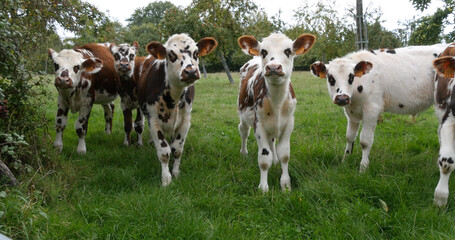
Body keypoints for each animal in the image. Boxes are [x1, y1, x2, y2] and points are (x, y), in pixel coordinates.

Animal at [138, 33, 218, 186]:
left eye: (196, 53)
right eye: (171, 55)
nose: (190, 71)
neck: (173, 98)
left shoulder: (185, 120)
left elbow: (177, 149)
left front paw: (175, 172)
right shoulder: (153, 120)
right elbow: (164, 152)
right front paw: (166, 178)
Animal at [237, 32, 316, 192]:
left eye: (288, 50)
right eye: (263, 51)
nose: (273, 67)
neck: (277, 102)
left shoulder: (289, 122)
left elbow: (284, 154)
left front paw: (285, 185)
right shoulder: (258, 124)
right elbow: (263, 158)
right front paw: (263, 187)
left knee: (272, 140)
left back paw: (274, 159)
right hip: (243, 112)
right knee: (243, 131)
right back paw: (244, 152)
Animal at [310, 44, 448, 172]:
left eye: (351, 77)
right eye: (330, 78)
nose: (342, 98)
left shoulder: (372, 109)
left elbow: (365, 141)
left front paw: (363, 168)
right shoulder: (351, 113)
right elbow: (349, 136)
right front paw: (345, 160)